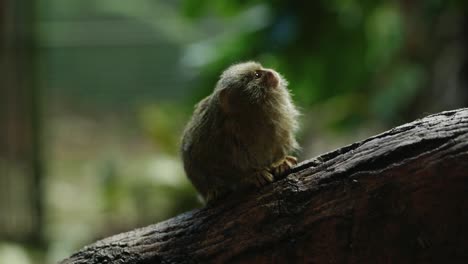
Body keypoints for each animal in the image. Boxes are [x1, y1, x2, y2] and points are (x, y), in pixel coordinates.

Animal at [181, 62, 298, 202]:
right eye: (257, 75)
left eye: (261, 69)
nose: (271, 72)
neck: (252, 116)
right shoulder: (208, 133)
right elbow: (195, 159)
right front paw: (252, 176)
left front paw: (281, 162)